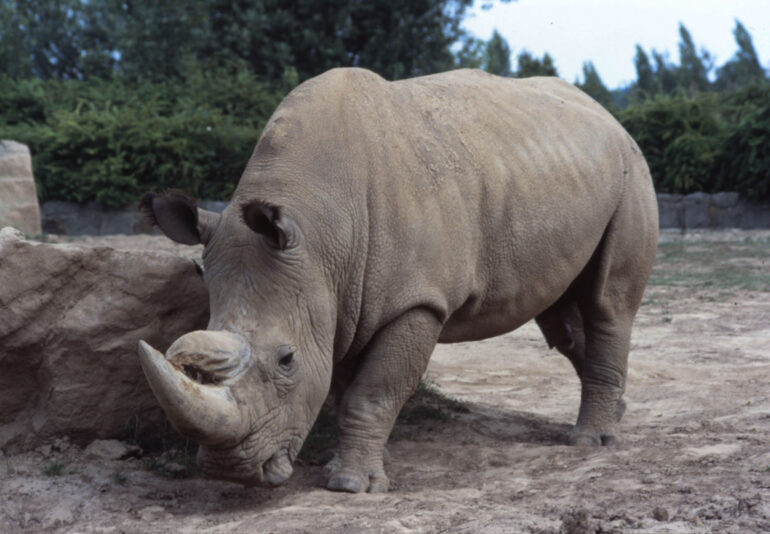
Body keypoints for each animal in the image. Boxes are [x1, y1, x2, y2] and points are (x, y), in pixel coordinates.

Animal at [138, 68, 658, 493]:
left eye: (287, 361)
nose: (232, 471)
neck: (319, 233)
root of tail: (608, 115)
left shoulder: (415, 301)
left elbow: (373, 392)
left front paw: (352, 486)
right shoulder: (340, 301)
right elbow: (343, 387)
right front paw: (338, 466)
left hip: (633, 170)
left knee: (607, 303)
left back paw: (591, 442)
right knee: (562, 320)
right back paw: (617, 413)